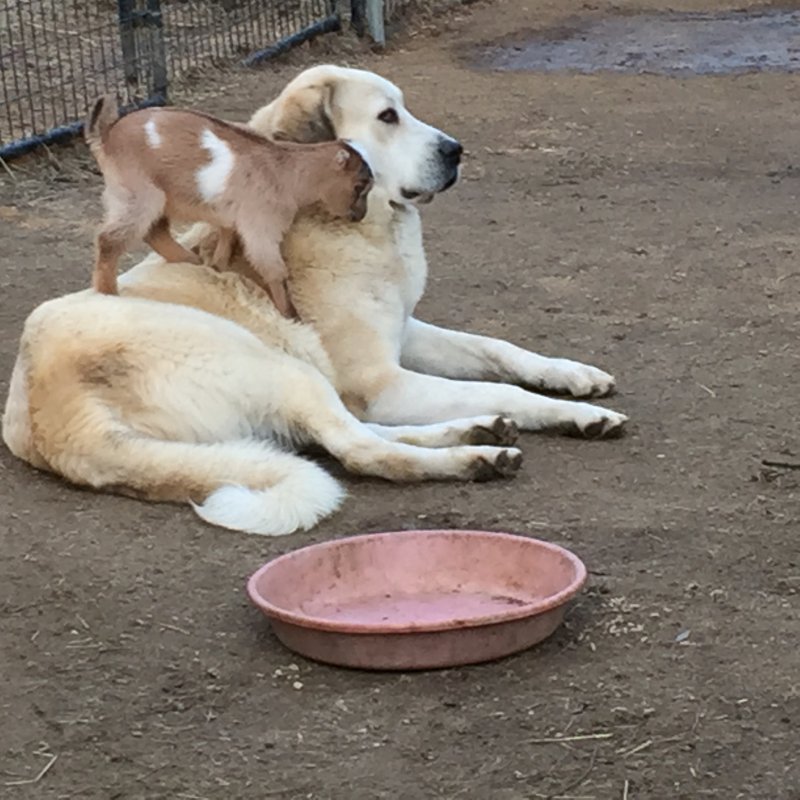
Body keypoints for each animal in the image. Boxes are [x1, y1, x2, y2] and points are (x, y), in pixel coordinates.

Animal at [0, 65, 628, 536]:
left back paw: (480, 432)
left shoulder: (406, 333)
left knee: (346, 438)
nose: (456, 151)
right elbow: (501, 386)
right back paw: (474, 457)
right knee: (359, 450)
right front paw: (578, 414)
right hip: (280, 365)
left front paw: (573, 376)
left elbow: (498, 349)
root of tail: (58, 424)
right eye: (387, 117)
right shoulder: (381, 382)